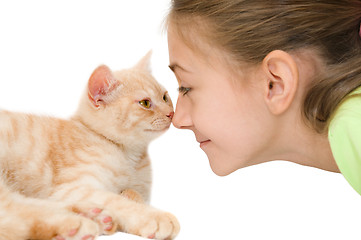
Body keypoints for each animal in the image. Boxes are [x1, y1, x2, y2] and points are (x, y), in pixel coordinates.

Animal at [0, 52, 179, 240]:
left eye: (165, 97)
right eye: (145, 103)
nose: (171, 113)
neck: (130, 157)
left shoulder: (140, 190)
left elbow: (133, 195)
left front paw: (131, 197)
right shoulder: (72, 188)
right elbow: (116, 200)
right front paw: (152, 216)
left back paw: (93, 216)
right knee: (15, 215)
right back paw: (76, 223)